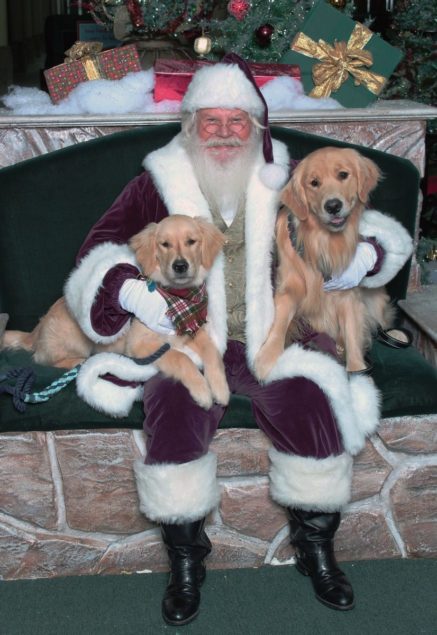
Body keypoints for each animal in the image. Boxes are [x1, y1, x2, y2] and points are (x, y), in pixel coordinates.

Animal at [5, 216, 230, 410]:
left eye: (191, 241)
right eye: (164, 244)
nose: (180, 266)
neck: (179, 299)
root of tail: (36, 331)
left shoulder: (193, 330)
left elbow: (212, 352)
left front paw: (220, 388)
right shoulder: (141, 345)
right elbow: (181, 358)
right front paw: (202, 391)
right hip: (75, 339)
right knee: (45, 360)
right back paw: (79, 362)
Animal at [254, 147, 394, 380]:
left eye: (343, 175)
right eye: (314, 183)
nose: (333, 206)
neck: (323, 242)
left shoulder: (348, 297)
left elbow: (353, 336)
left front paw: (357, 370)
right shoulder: (289, 287)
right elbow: (280, 321)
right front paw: (267, 357)